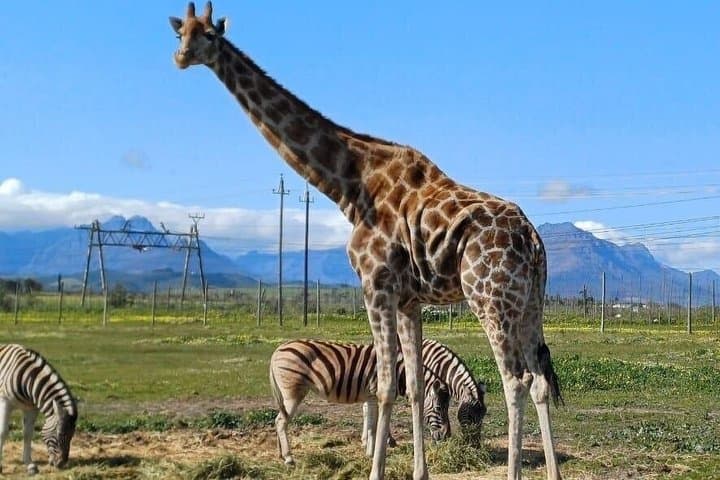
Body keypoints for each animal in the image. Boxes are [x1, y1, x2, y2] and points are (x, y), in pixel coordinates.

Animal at [169, 3, 563, 479]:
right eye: (180, 32)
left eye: (208, 35)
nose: (181, 57)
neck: (350, 185)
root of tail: (533, 240)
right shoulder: (409, 298)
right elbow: (414, 388)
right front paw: (419, 471)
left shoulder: (375, 283)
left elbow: (386, 387)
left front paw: (377, 469)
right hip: (530, 302)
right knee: (539, 381)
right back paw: (553, 473)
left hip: (489, 298)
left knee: (515, 381)